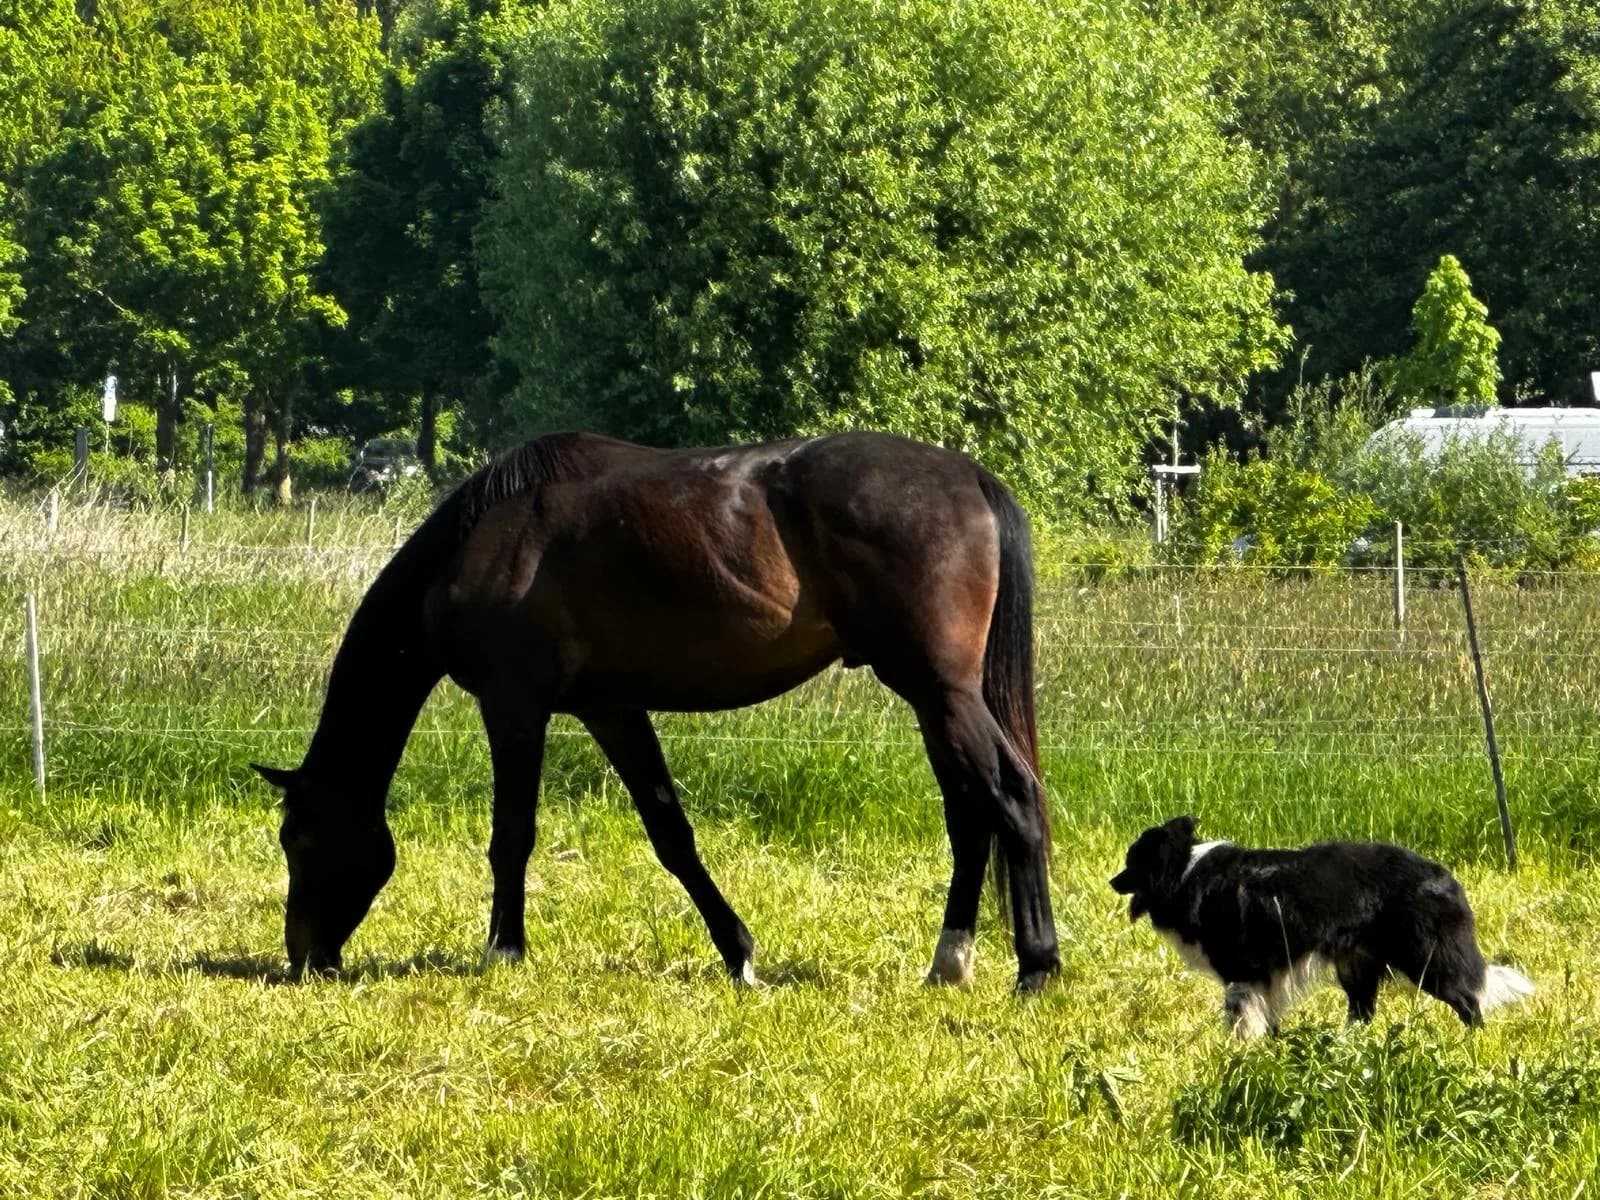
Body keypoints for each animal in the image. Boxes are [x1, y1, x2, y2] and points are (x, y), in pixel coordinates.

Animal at [251, 430, 1060, 991]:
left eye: (299, 838)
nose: (304, 959)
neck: (490, 538)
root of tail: (971, 477)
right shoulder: (612, 708)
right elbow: (671, 833)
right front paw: (739, 954)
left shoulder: (514, 705)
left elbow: (512, 835)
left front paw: (503, 949)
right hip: (933, 699)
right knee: (970, 815)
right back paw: (949, 962)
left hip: (941, 691)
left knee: (1013, 797)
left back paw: (1038, 966)